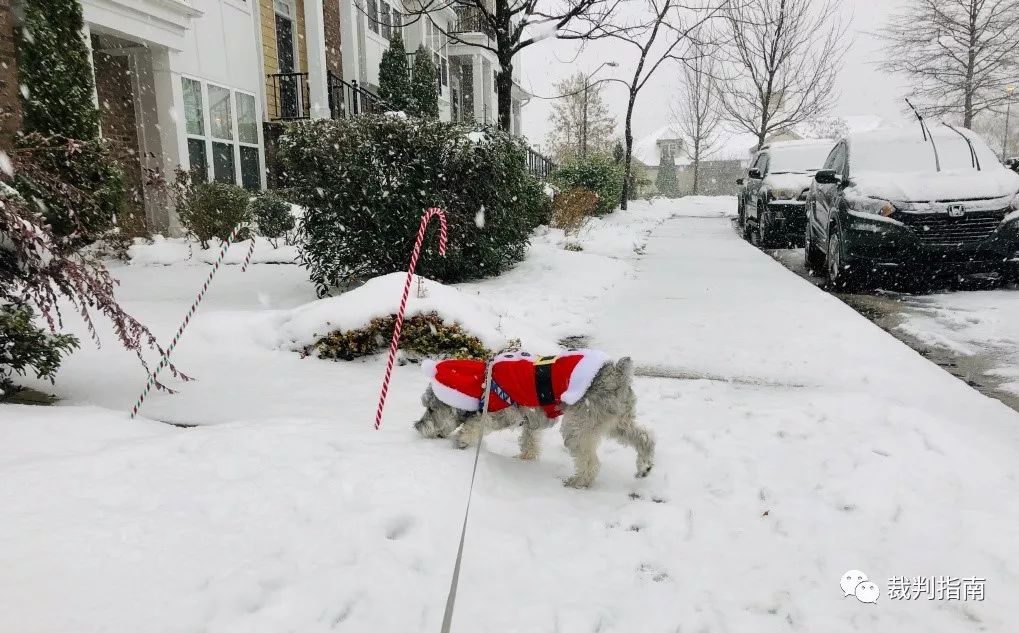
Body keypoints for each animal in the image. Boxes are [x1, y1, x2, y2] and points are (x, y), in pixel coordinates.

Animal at [411, 348, 656, 487]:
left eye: (430, 409)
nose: (417, 426)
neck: (481, 385)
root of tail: (618, 373)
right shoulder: (530, 422)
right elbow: (529, 441)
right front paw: (525, 459)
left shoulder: (503, 413)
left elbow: (476, 422)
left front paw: (462, 440)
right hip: (617, 422)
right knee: (645, 437)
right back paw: (644, 466)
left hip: (579, 427)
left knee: (591, 462)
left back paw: (579, 481)